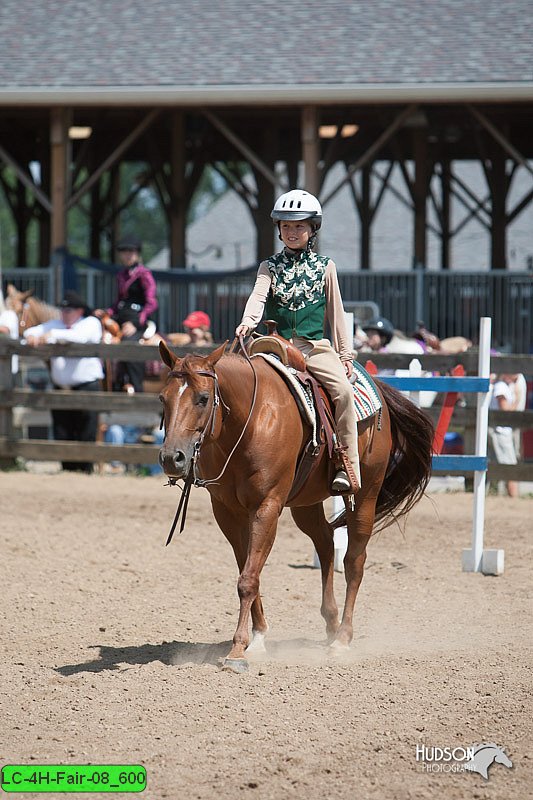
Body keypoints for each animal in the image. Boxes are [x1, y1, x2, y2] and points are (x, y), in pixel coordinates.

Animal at [158, 340, 432, 672]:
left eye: (203, 398)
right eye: (163, 397)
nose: (172, 458)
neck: (248, 423)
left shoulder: (267, 506)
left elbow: (248, 579)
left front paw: (237, 651)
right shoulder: (226, 511)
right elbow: (248, 569)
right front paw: (258, 639)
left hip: (365, 495)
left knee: (354, 561)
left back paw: (342, 638)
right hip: (305, 504)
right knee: (326, 544)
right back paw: (331, 623)